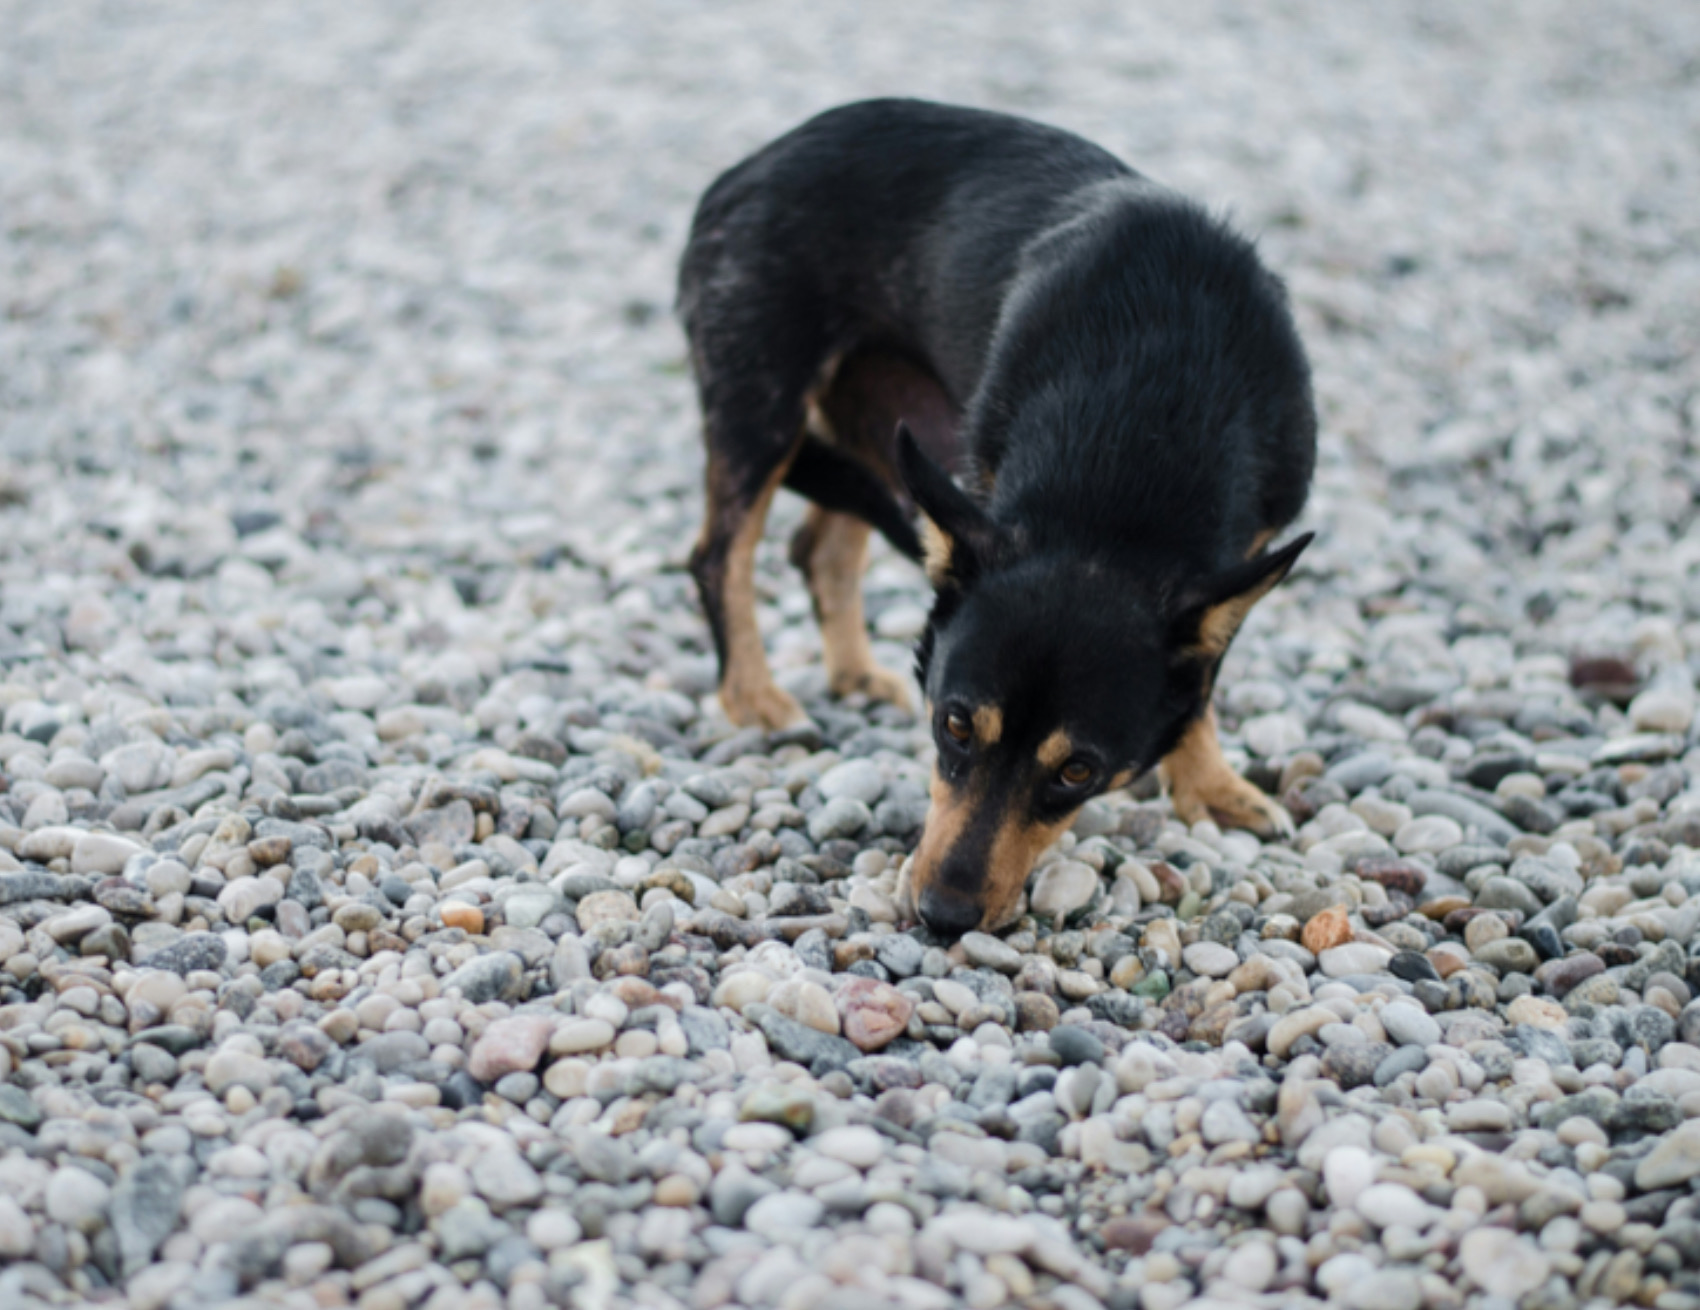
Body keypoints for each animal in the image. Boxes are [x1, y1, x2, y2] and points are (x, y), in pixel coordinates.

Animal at [676, 104, 1312, 944]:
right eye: (952, 726)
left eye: (1078, 770)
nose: (943, 916)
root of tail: (745, 166)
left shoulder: (1241, 554)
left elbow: (1201, 683)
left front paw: (1209, 783)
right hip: (763, 403)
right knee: (721, 552)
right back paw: (753, 695)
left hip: (884, 428)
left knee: (821, 549)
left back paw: (852, 671)